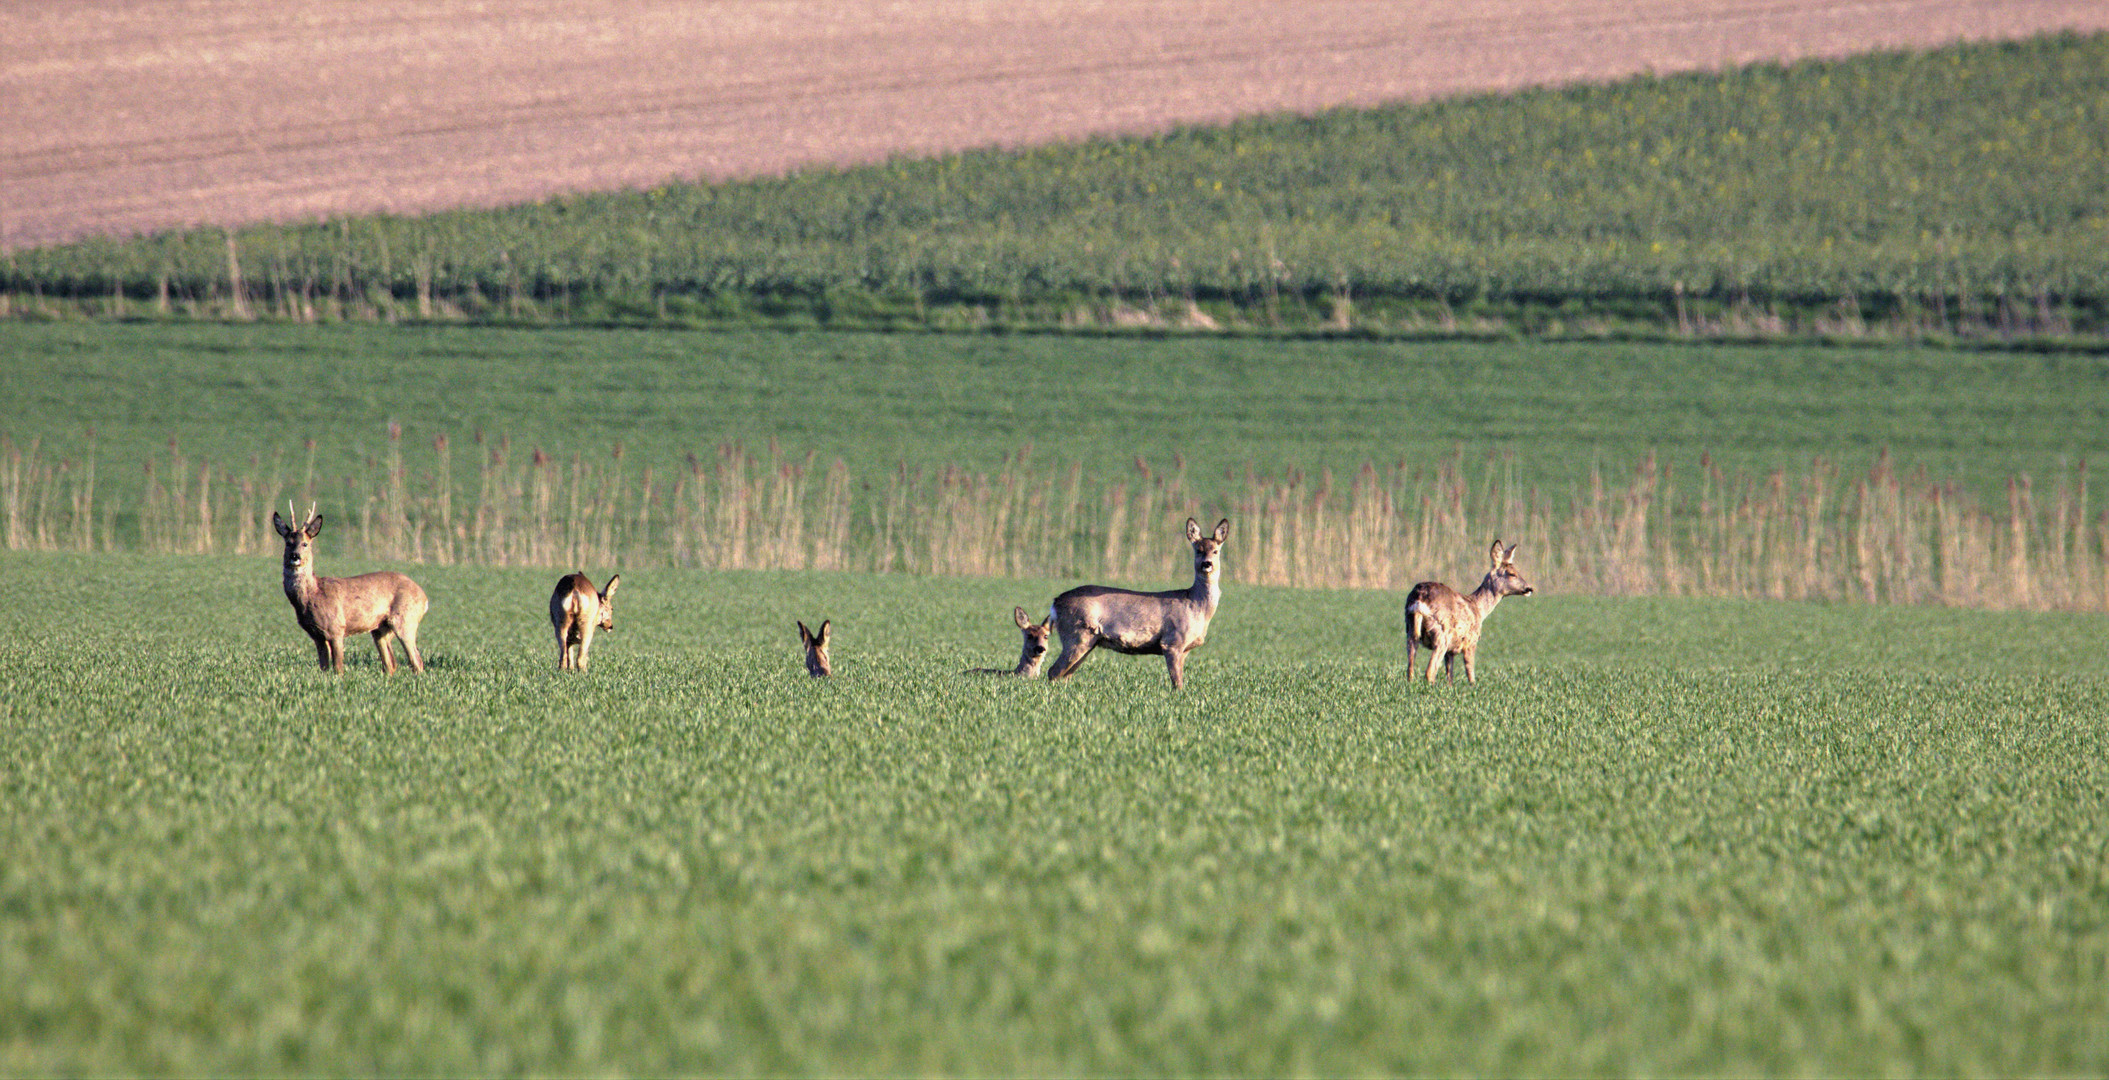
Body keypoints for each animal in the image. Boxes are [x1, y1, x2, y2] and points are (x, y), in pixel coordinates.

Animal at [272, 502, 428, 670]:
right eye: (288, 543)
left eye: (305, 543)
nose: (295, 556)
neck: (312, 595)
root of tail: (424, 597)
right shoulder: (316, 635)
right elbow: (324, 667)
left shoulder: (336, 628)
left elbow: (338, 668)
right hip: (380, 629)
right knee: (391, 664)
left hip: (405, 619)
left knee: (417, 660)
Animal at [1046, 516, 1231, 691]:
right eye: (1198, 550)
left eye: (1215, 551)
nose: (1207, 564)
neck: (1196, 605)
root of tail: (1055, 603)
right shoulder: (1172, 641)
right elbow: (1177, 683)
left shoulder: (1185, 649)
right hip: (1076, 635)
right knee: (1053, 671)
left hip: (1088, 641)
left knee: (1065, 674)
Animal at [1400, 540, 1535, 683]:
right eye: (1512, 573)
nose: (1529, 588)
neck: (1479, 609)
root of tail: (1419, 600)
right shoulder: (1471, 641)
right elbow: (1470, 674)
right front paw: (1474, 686)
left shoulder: (1451, 651)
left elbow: (1450, 676)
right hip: (1441, 634)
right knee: (1430, 671)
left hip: (1410, 630)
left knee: (1410, 670)